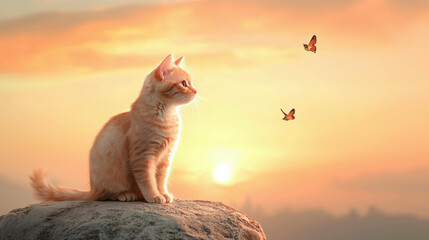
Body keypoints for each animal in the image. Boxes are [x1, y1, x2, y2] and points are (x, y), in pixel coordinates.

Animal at [30, 54, 197, 204]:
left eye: (190, 83)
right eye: (183, 83)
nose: (196, 91)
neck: (166, 114)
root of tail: (92, 190)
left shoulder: (165, 157)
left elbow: (161, 179)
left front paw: (163, 193)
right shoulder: (142, 157)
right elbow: (148, 180)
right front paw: (154, 196)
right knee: (106, 195)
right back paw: (125, 194)